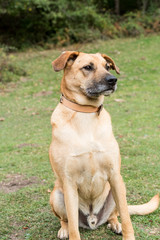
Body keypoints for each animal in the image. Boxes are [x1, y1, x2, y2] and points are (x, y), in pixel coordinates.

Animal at [49, 51, 159, 239]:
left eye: (107, 66)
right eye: (88, 67)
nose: (113, 80)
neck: (86, 114)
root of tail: (93, 220)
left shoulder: (115, 175)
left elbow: (127, 217)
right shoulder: (69, 183)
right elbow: (73, 227)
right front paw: (69, 231)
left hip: (116, 191)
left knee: (115, 214)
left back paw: (115, 224)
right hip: (57, 195)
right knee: (65, 219)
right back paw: (63, 229)